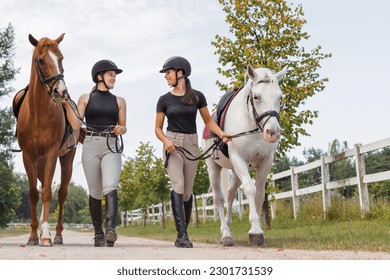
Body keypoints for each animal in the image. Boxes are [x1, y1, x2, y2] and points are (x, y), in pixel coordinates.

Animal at [14, 34, 80, 246]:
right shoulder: (28, 156)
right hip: (40, 162)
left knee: (61, 193)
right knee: (43, 186)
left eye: (61, 58)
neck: (38, 113)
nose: (61, 92)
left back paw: (57, 235)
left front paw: (44, 235)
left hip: (66, 158)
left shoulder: (51, 154)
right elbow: (34, 194)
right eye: (41, 60)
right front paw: (33, 235)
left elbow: (47, 192)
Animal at [203, 64, 284, 246]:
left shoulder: (265, 162)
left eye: (280, 97)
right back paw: (226, 234)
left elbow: (259, 194)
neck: (252, 124)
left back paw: (228, 227)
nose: (272, 133)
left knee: (230, 194)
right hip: (214, 167)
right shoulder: (239, 159)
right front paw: (255, 231)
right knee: (219, 199)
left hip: (236, 170)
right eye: (256, 97)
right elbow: (250, 189)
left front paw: (259, 229)